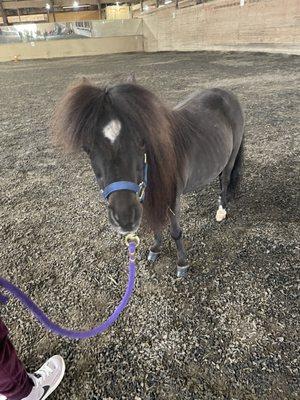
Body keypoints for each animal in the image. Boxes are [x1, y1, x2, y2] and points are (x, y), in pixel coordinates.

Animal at [53, 78, 244, 278]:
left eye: (141, 141)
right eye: (87, 148)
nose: (125, 218)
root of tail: (226, 93)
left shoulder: (172, 198)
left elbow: (175, 231)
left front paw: (182, 264)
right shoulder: (146, 197)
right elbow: (155, 226)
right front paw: (155, 249)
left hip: (231, 156)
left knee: (225, 180)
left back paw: (221, 210)